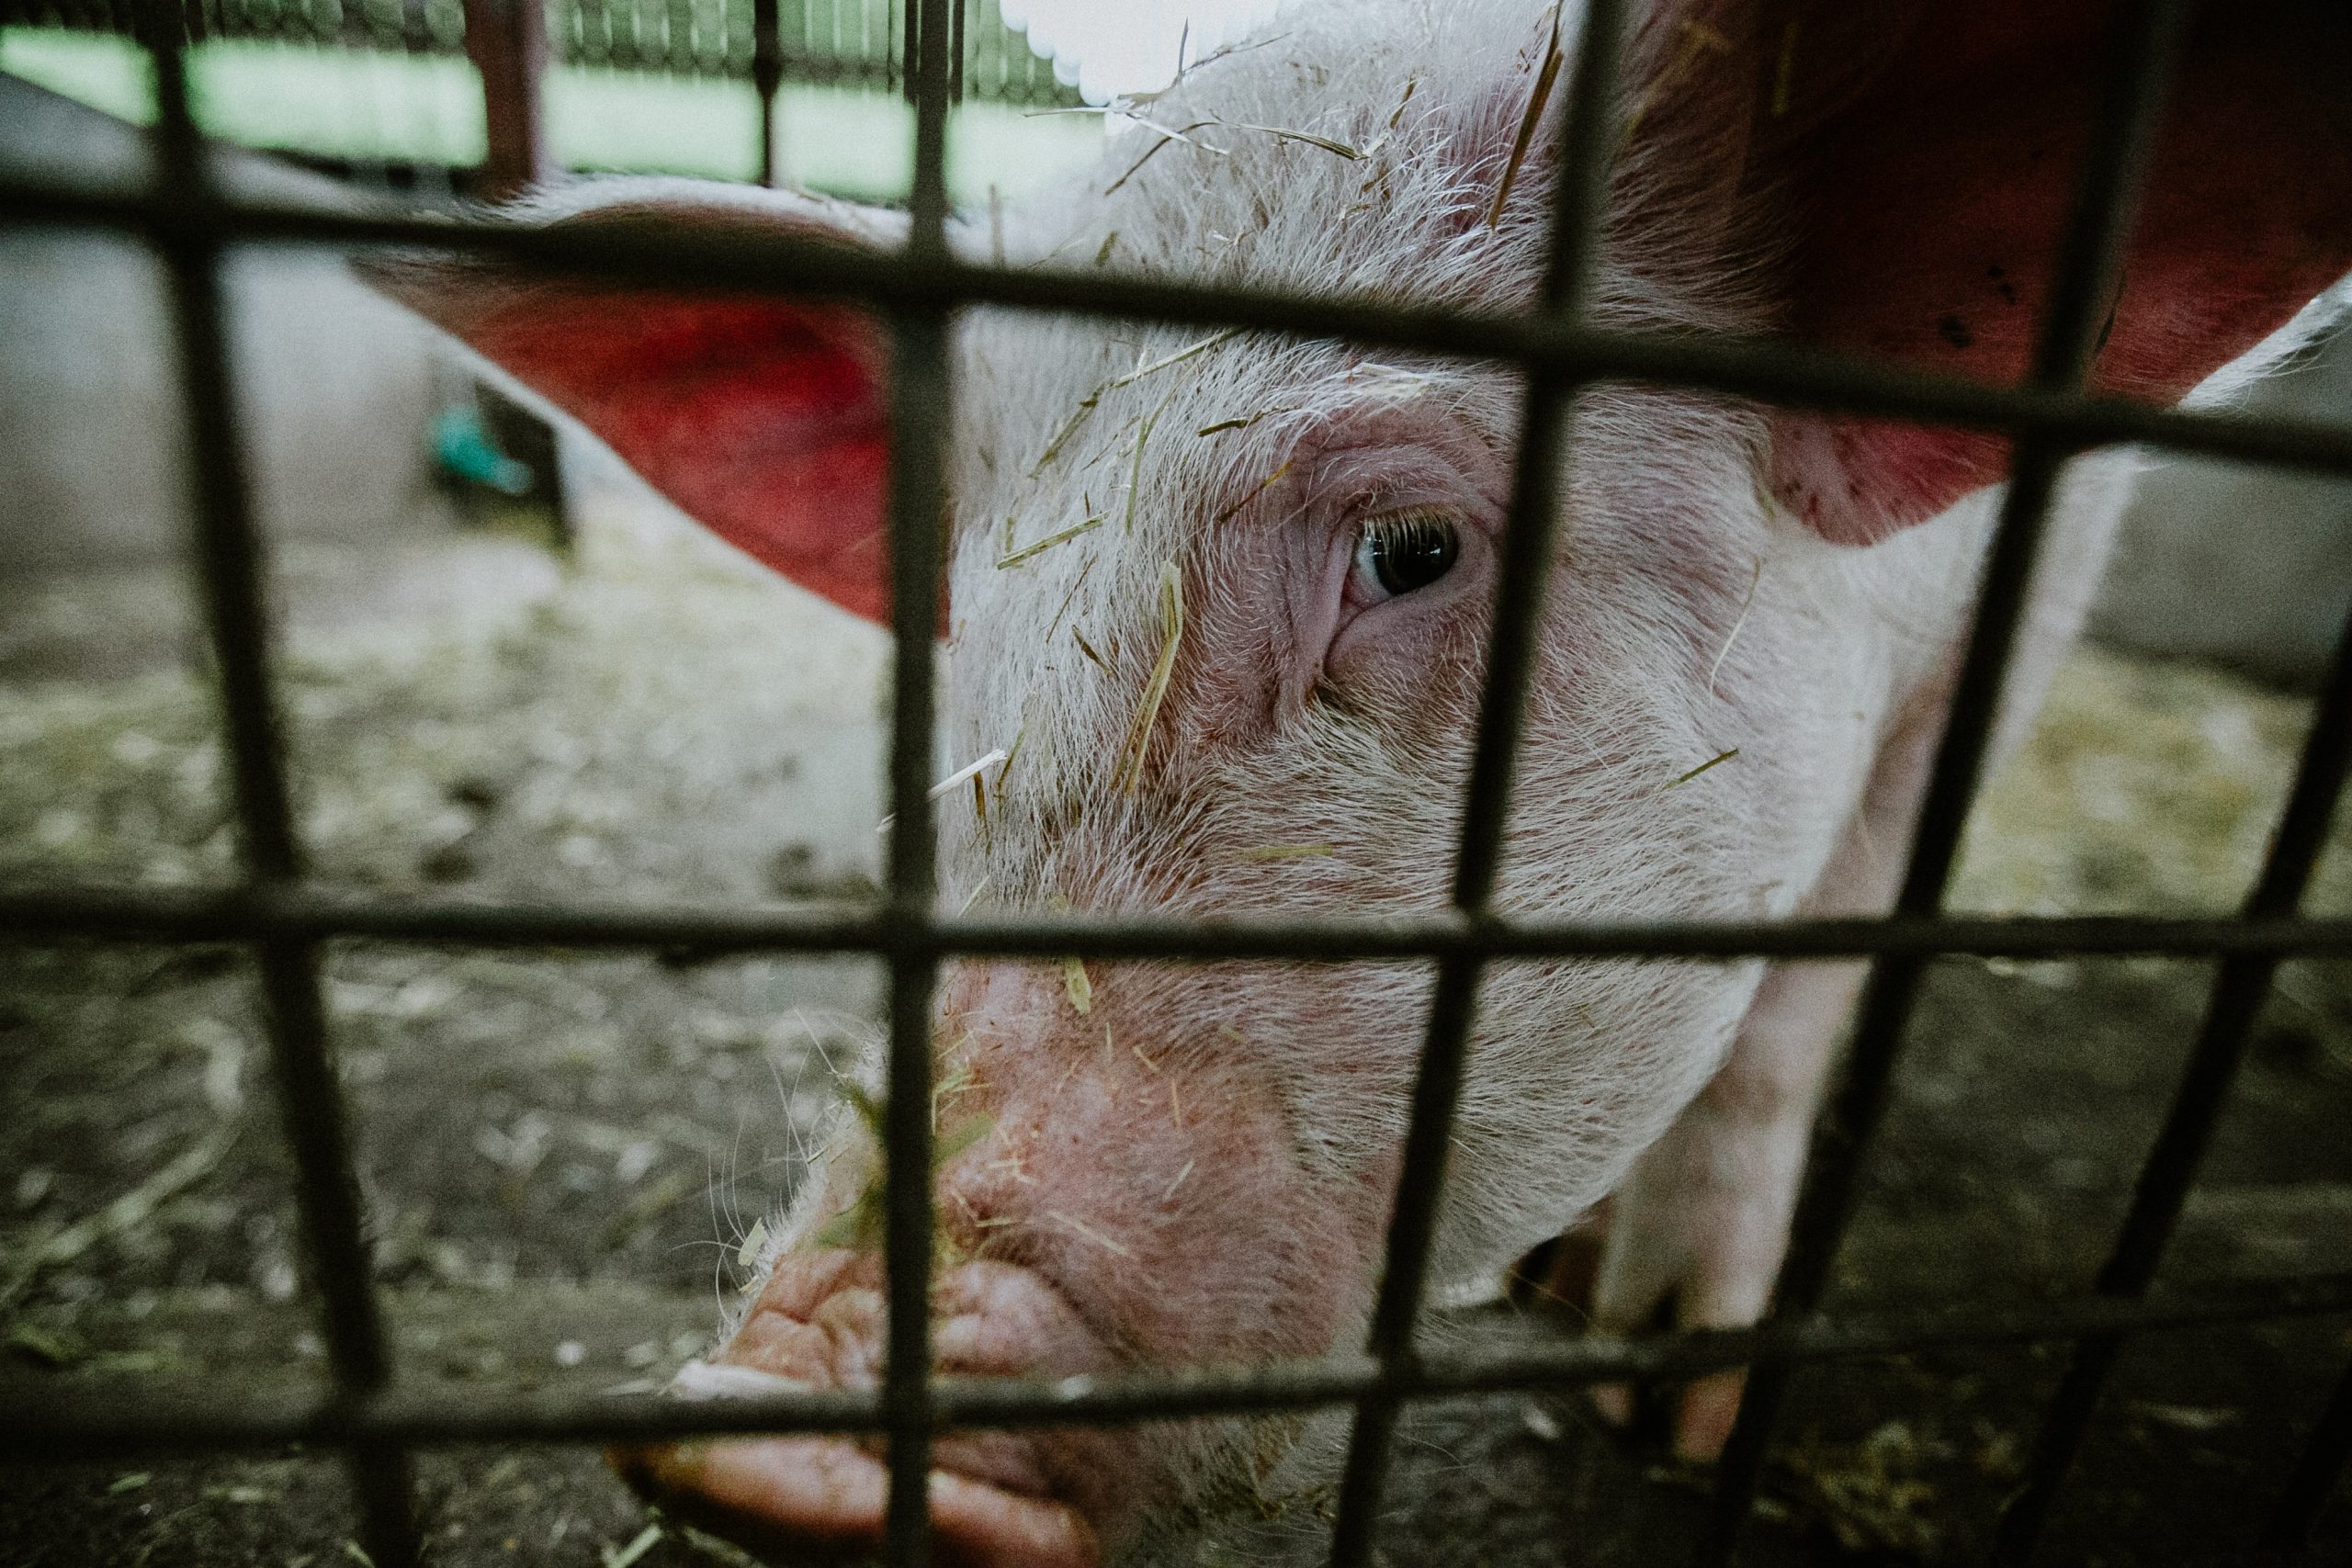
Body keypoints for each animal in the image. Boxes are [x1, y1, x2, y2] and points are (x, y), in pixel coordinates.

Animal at [367, 0, 2352, 1561]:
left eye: (1410, 548)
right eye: (969, 614)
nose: (757, 1442)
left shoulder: (2010, 616)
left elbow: (1799, 993)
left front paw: (1666, 1395)